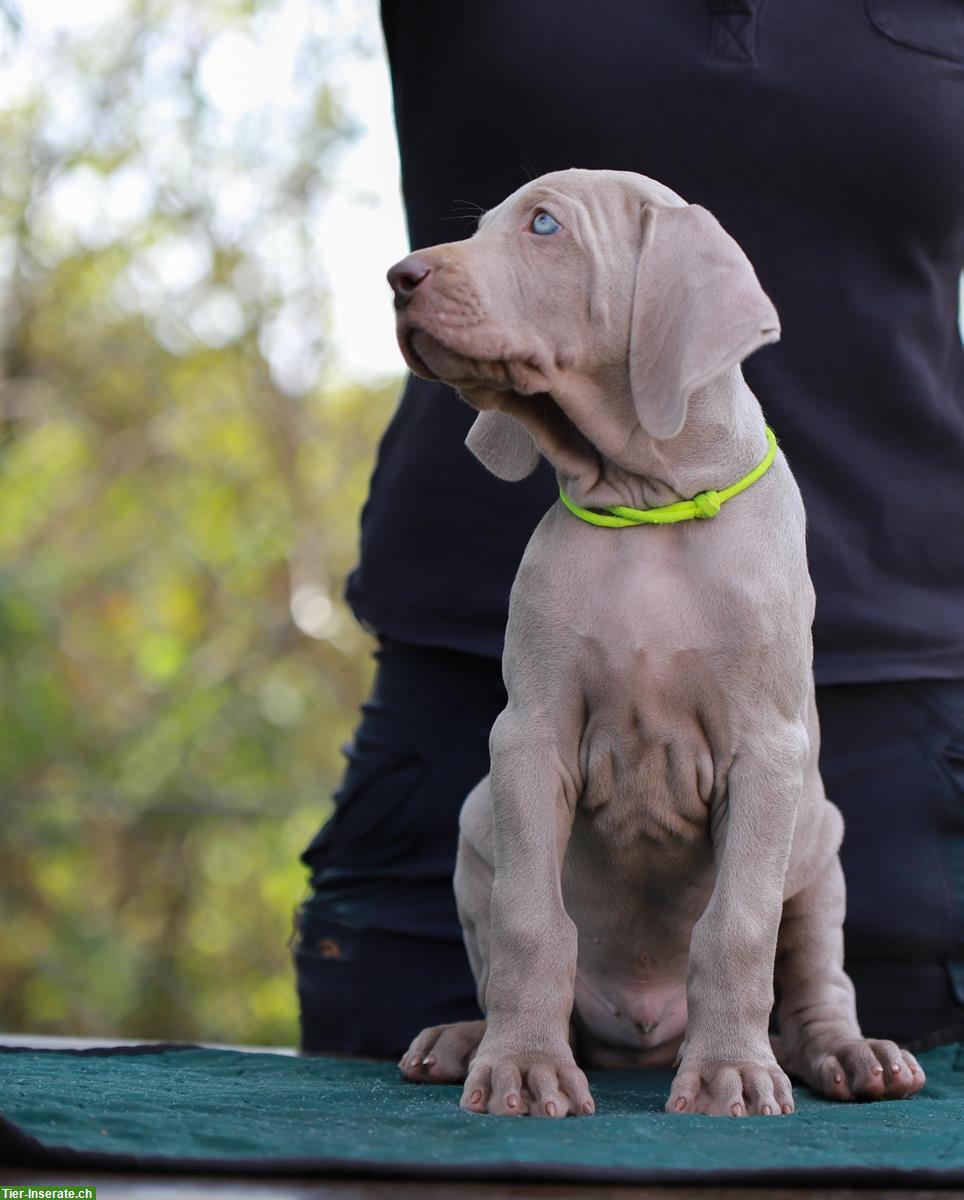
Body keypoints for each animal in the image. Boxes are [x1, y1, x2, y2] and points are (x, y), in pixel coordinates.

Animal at [384, 169, 926, 1113]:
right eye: (480, 227)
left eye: (545, 226)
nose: (398, 277)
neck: (650, 508)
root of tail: (643, 1034)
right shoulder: (528, 740)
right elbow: (532, 923)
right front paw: (523, 1066)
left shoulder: (768, 753)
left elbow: (737, 927)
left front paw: (732, 1073)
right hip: (476, 827)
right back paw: (468, 1038)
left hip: (820, 848)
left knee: (816, 988)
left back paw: (854, 1055)